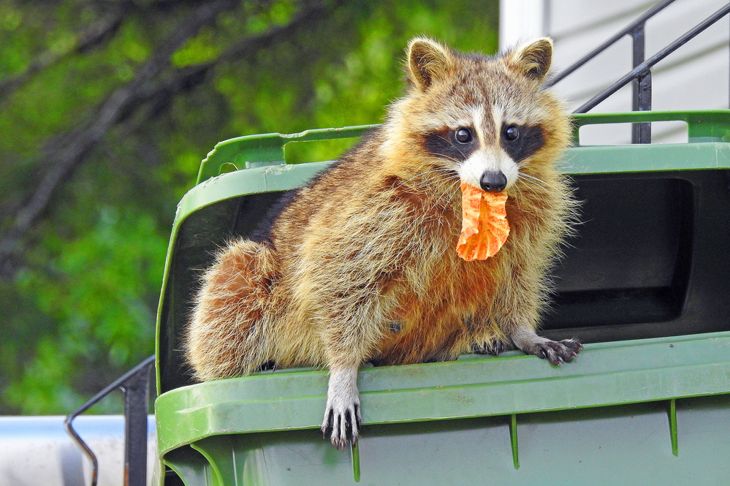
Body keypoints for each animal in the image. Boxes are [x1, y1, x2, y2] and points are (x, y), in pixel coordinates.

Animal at [186, 37, 581, 449]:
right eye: (463, 134)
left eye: (511, 132)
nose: (494, 181)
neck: (471, 194)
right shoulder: (376, 206)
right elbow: (334, 272)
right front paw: (343, 366)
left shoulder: (532, 212)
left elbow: (518, 272)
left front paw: (521, 330)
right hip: (253, 279)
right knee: (236, 283)